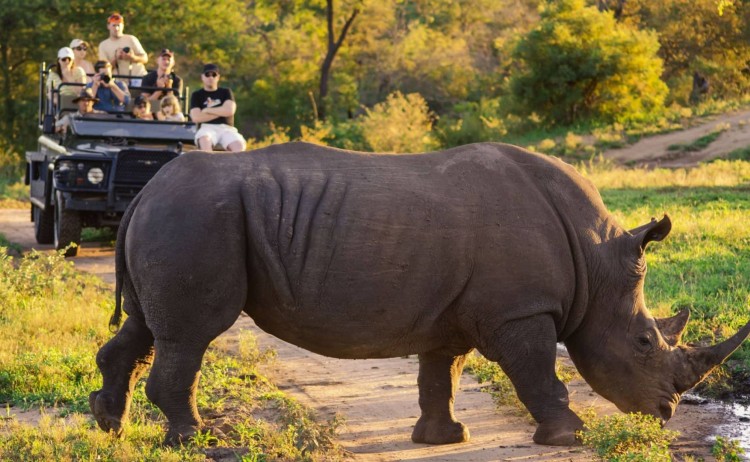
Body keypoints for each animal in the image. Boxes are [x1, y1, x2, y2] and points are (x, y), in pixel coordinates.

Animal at [90, 141, 750, 446]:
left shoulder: (452, 313)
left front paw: (443, 438)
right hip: (197, 217)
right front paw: (569, 435)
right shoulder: (520, 311)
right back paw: (197, 439)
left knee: (145, 327)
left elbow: (441, 373)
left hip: (178, 215)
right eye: (644, 343)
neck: (596, 264)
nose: (665, 412)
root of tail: (144, 191)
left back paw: (110, 426)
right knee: (190, 333)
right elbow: (539, 372)